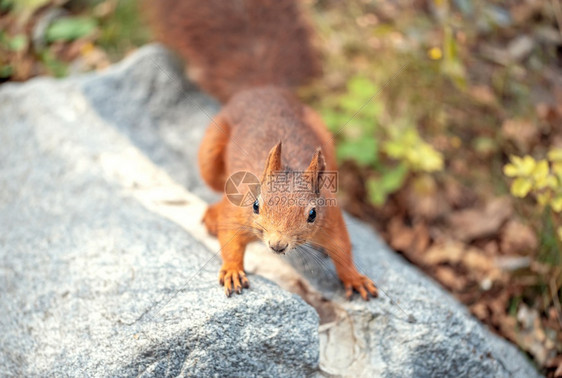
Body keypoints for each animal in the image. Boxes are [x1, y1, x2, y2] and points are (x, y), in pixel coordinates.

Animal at [147, 0, 378, 302]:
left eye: (312, 214)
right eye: (256, 205)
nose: (278, 245)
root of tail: (263, 88)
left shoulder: (331, 216)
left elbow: (343, 248)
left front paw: (355, 278)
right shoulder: (239, 212)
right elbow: (230, 238)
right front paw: (233, 271)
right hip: (211, 154)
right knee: (216, 188)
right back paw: (212, 215)